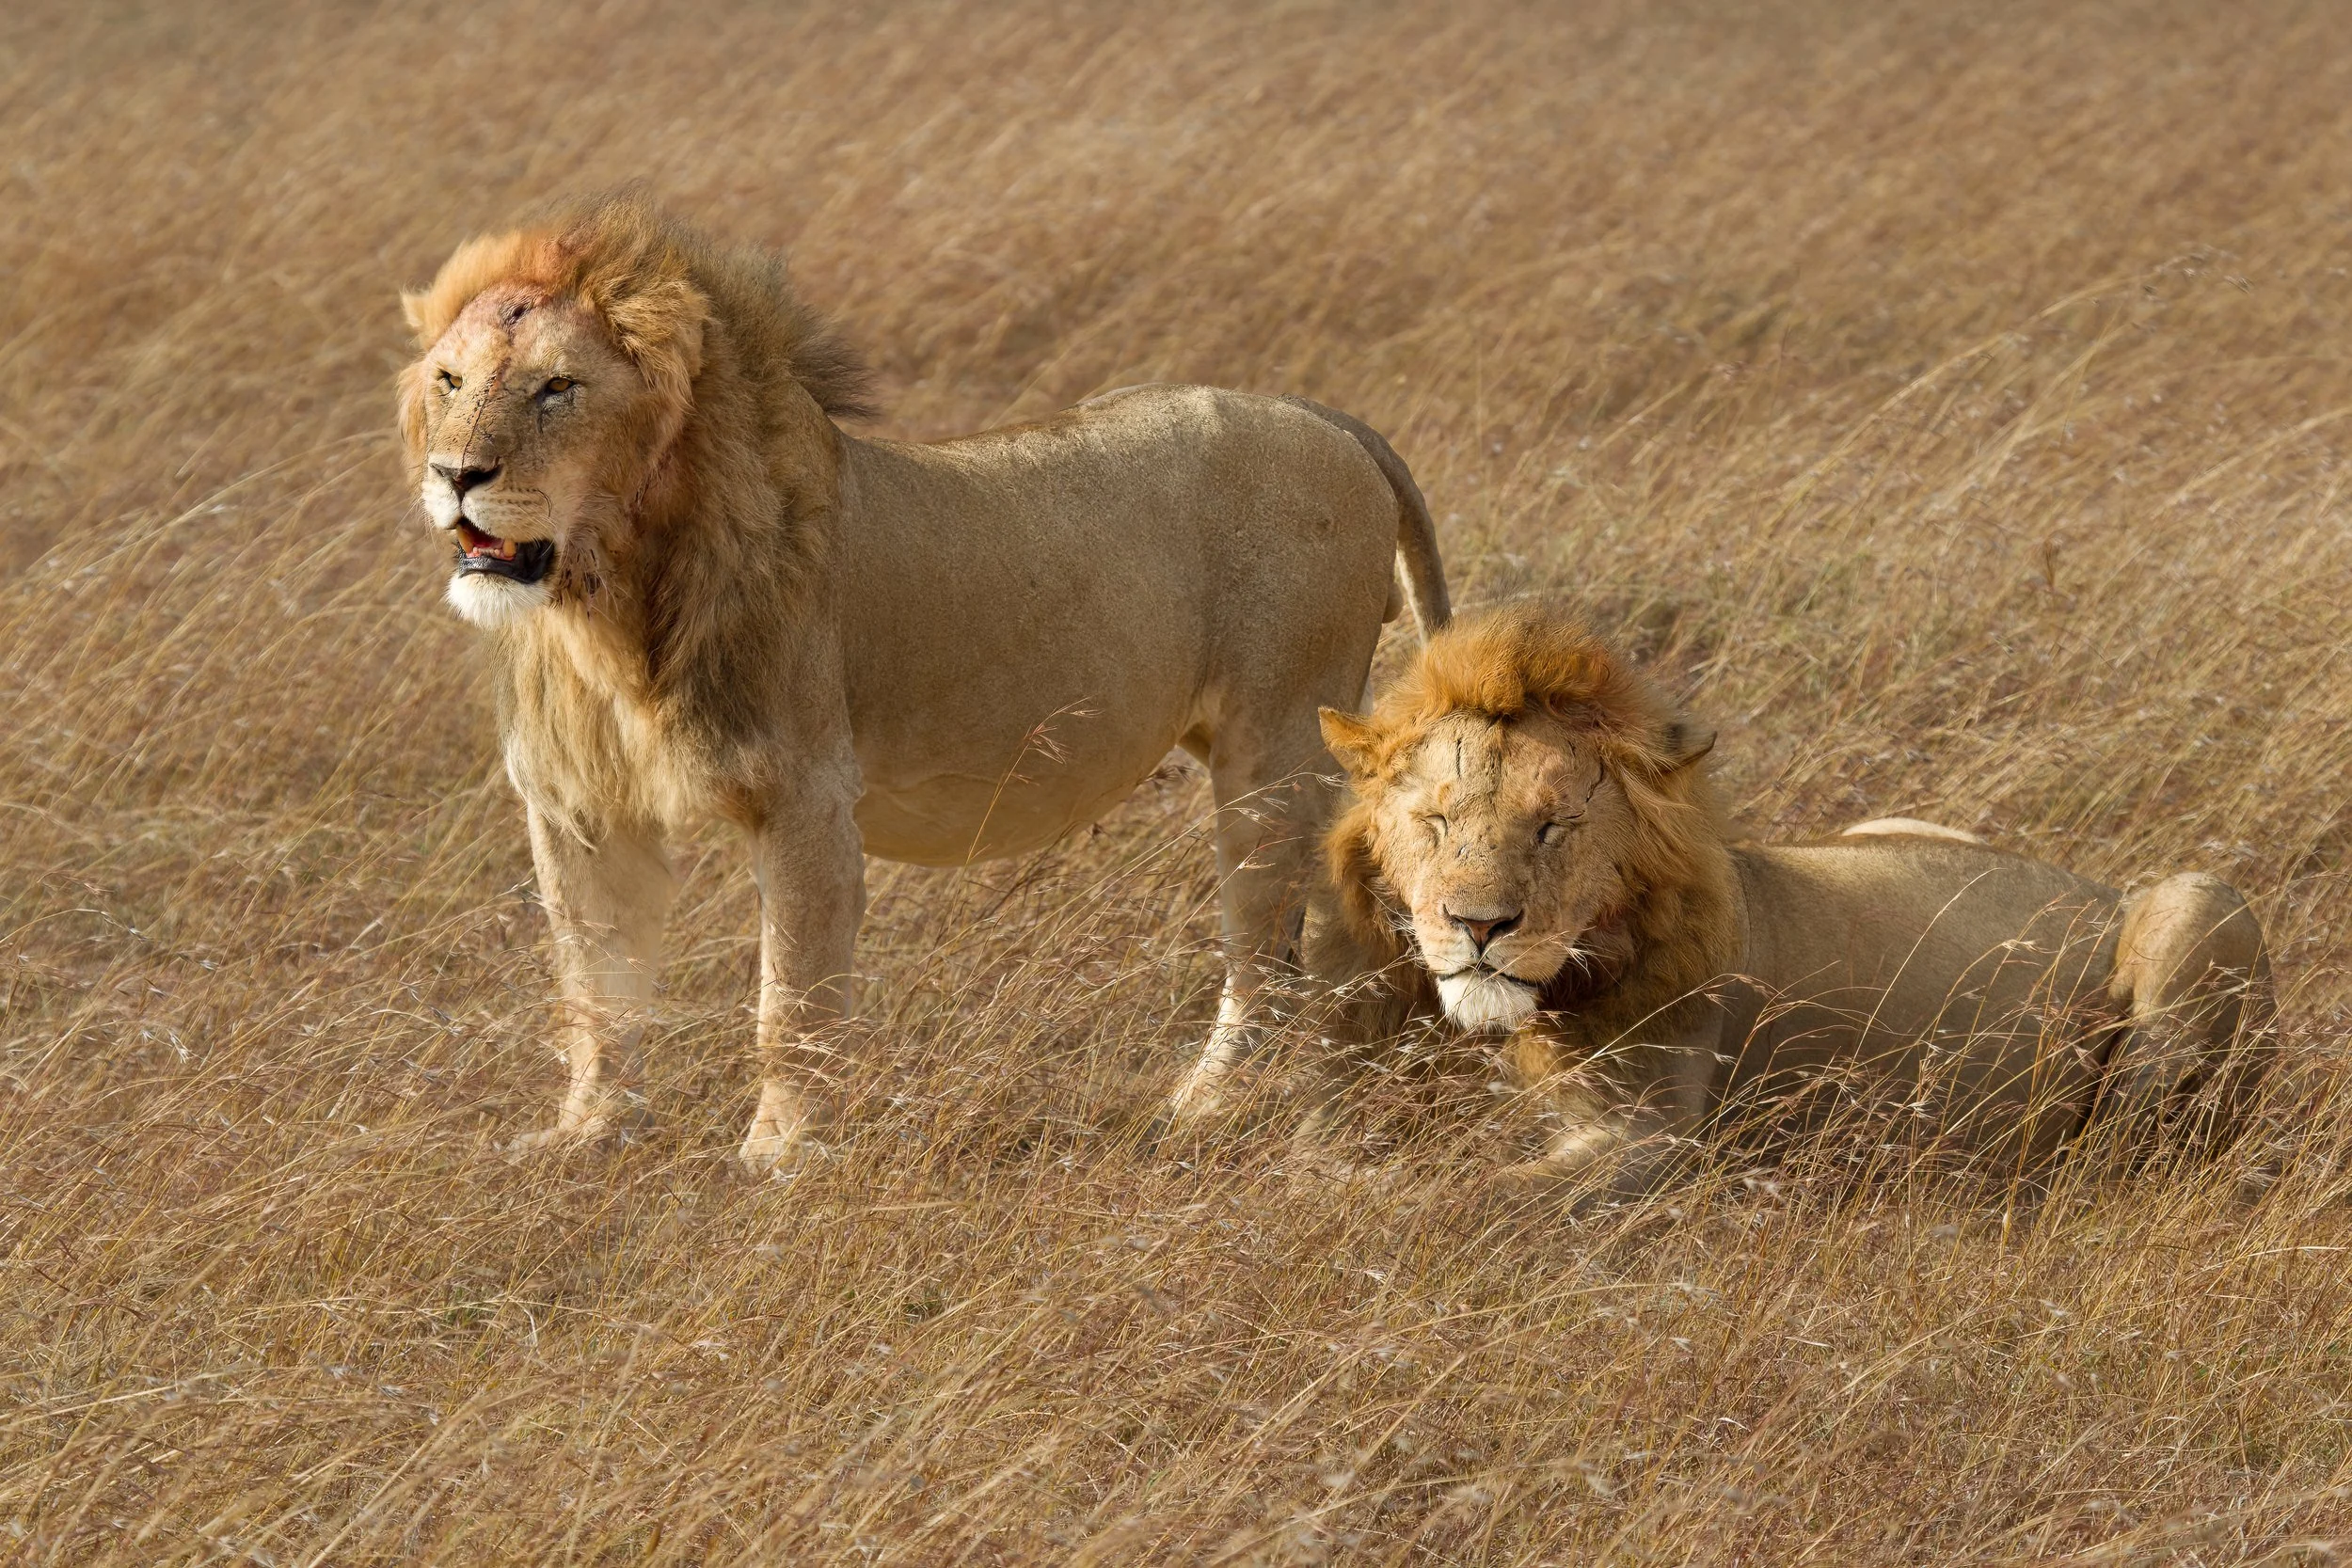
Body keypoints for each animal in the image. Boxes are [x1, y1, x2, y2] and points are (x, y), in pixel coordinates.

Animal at [395, 194, 1449, 1171]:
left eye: (557, 388)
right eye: (450, 380)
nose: (455, 473)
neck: (607, 604)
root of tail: (1324, 416)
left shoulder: (806, 795)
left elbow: (792, 994)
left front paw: (782, 1153)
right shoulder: (580, 809)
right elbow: (595, 986)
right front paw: (589, 1133)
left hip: (1273, 746)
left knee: (1265, 948)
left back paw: (1208, 1106)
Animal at [1308, 604, 2272, 1197]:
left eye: (1555, 826)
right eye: (1435, 821)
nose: (1477, 926)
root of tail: (2098, 885)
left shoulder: (1652, 1140)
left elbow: (1465, 1196)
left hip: (2200, 906)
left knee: (2114, 1157)